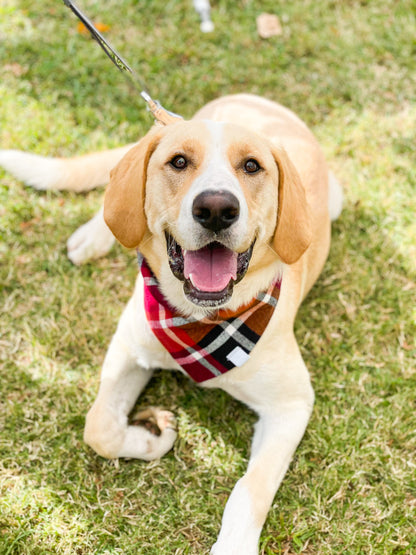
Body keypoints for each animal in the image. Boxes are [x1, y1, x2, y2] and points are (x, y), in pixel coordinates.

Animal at [0, 93, 342, 552]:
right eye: (179, 162)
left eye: (252, 166)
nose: (216, 209)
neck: (201, 321)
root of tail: (251, 98)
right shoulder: (129, 348)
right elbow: (99, 426)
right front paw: (150, 437)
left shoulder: (292, 404)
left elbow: (250, 488)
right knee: (117, 204)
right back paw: (94, 236)